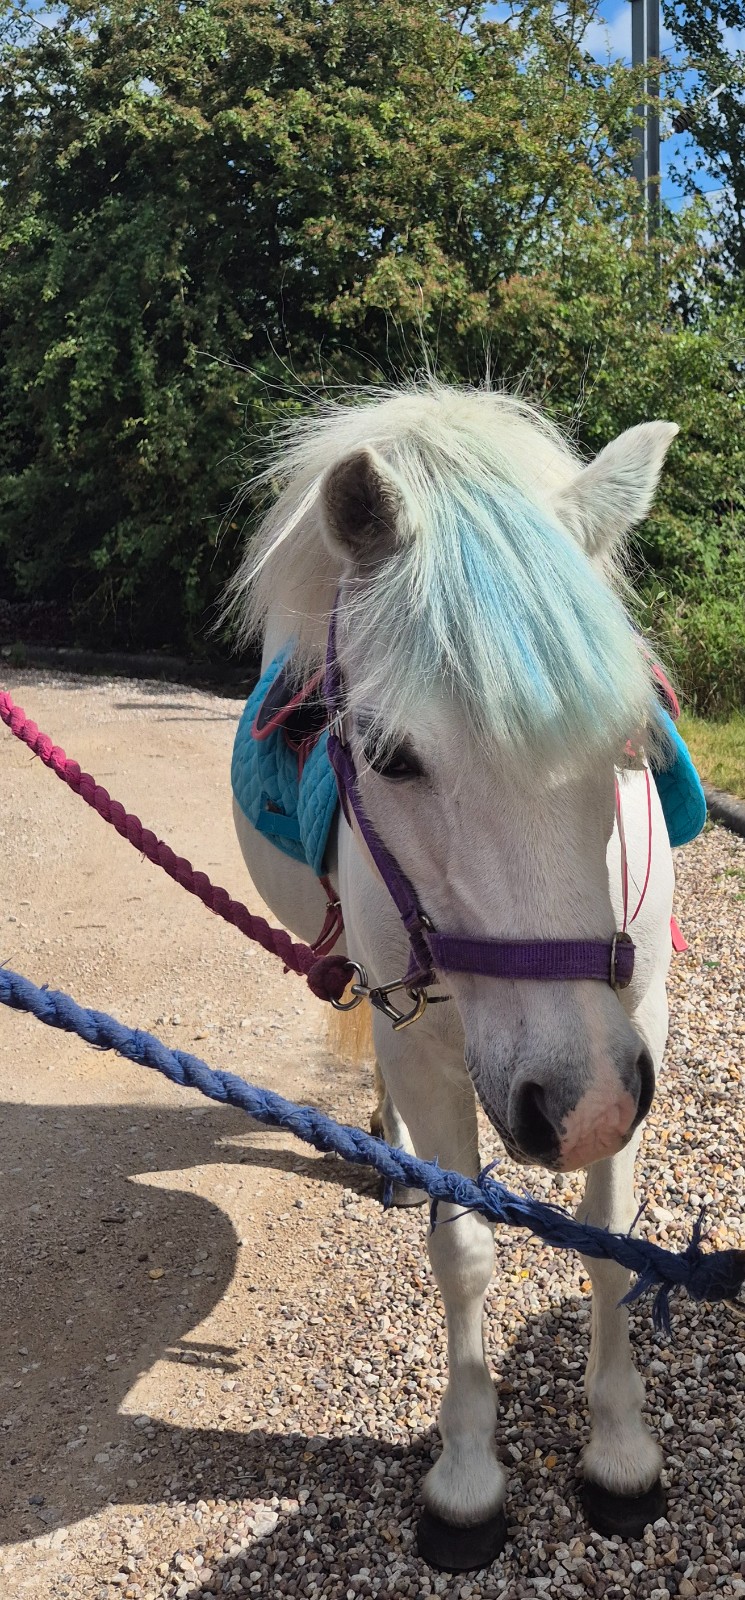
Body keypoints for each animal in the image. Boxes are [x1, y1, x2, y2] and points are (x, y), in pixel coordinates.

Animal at [227, 381, 679, 1571]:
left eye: (630, 737)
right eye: (388, 756)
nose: (580, 1104)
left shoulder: (639, 1023)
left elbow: (610, 1243)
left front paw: (621, 1455)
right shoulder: (430, 1048)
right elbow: (464, 1251)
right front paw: (467, 1479)